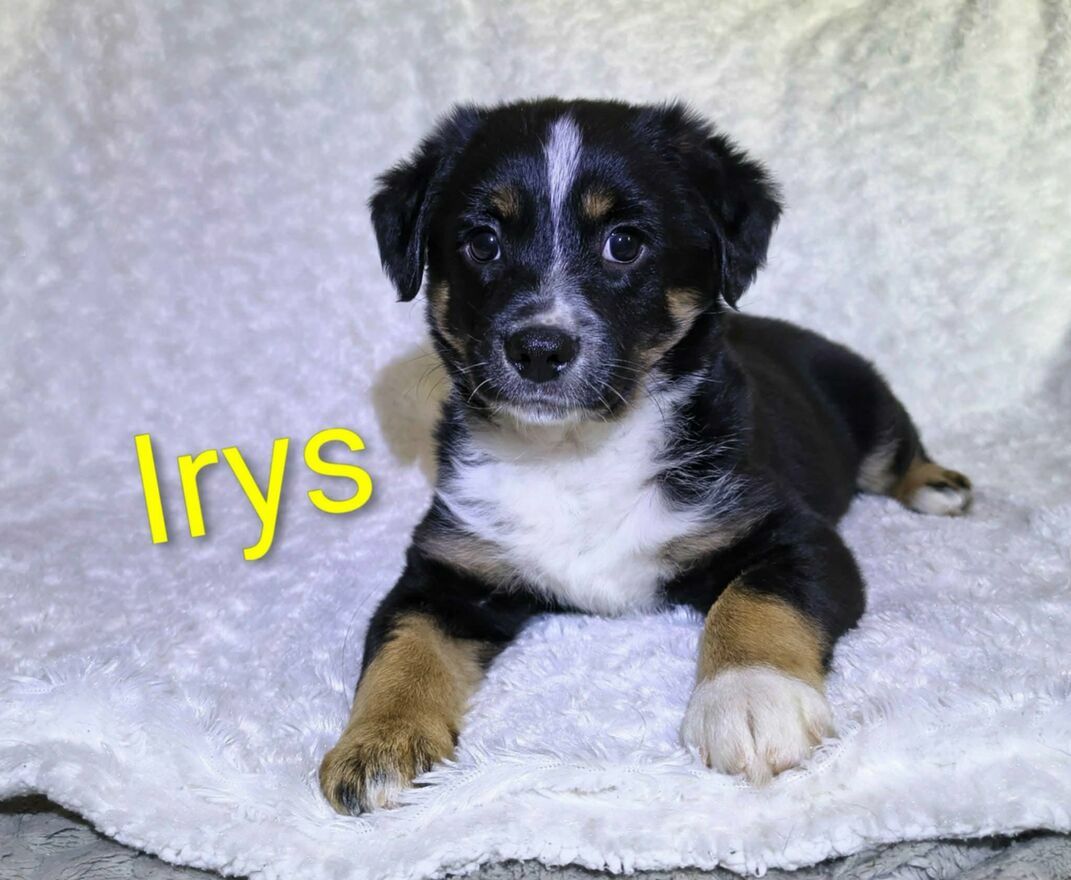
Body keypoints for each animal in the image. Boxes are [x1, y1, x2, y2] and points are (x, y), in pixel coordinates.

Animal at [319, 98, 972, 814]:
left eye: (624, 243)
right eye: (482, 242)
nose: (539, 349)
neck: (575, 452)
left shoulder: (793, 533)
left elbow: (756, 599)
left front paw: (750, 701)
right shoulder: (448, 567)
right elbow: (403, 647)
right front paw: (378, 744)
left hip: (868, 402)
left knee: (897, 453)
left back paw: (939, 486)